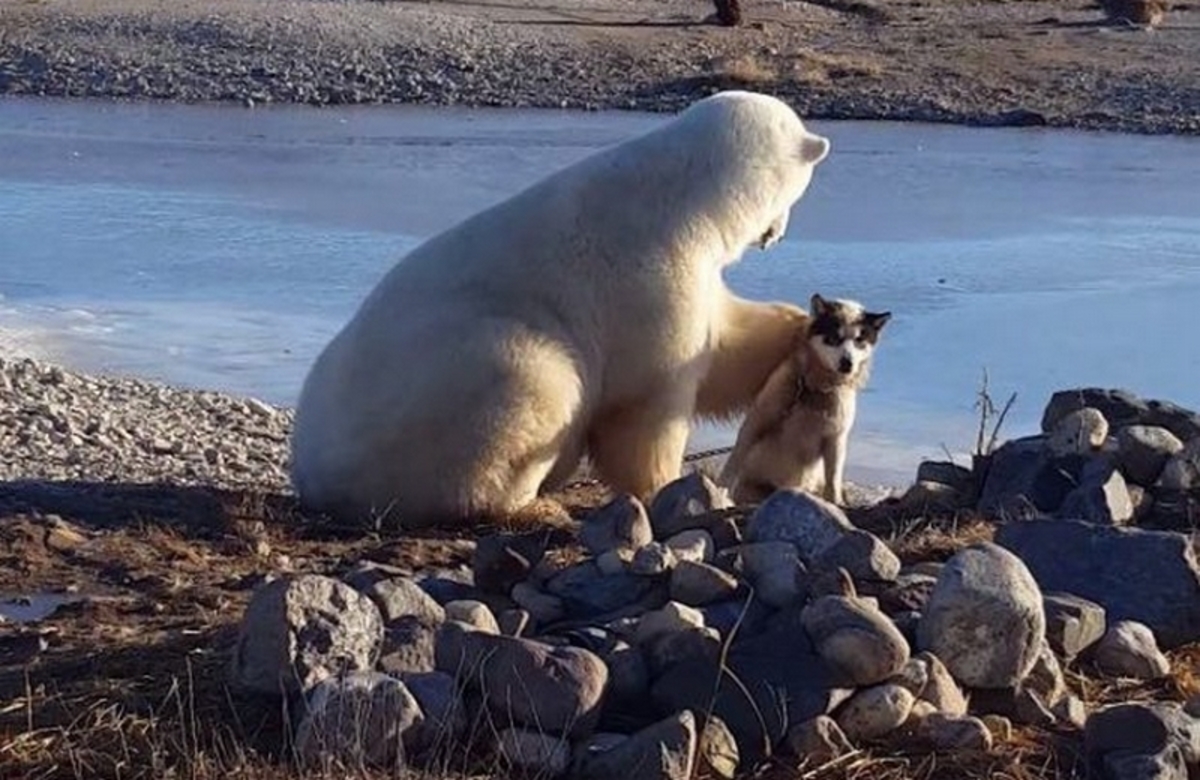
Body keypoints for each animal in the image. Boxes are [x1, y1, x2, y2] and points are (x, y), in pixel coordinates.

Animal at [292, 91, 835, 528]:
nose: (775, 235)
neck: (682, 195)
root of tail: (312, 474)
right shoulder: (650, 275)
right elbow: (647, 400)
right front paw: (668, 487)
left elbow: (725, 343)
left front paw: (802, 327)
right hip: (444, 388)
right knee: (535, 380)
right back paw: (526, 502)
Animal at [715, 291, 888, 504]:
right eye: (834, 338)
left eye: (859, 340)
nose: (847, 363)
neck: (815, 388)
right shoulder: (757, 421)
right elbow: (736, 455)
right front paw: (721, 488)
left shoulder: (836, 438)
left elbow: (834, 478)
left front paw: (835, 502)